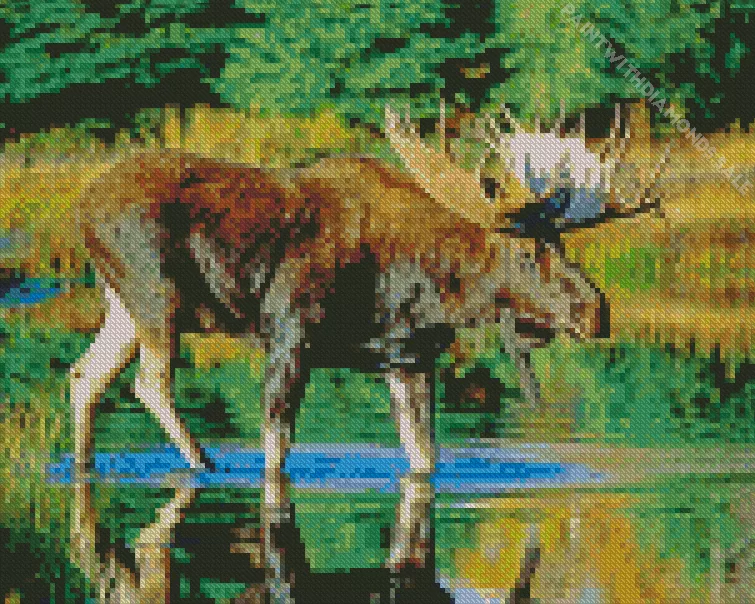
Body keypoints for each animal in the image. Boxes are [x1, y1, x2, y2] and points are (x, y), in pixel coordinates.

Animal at [67, 100, 664, 602]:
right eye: (524, 250)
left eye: (560, 243)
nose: (596, 310)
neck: (425, 289)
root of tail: (81, 204)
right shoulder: (290, 334)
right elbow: (276, 451)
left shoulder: (407, 359)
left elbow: (424, 457)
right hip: (155, 295)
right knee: (148, 381)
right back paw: (205, 465)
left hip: (122, 305)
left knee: (84, 375)